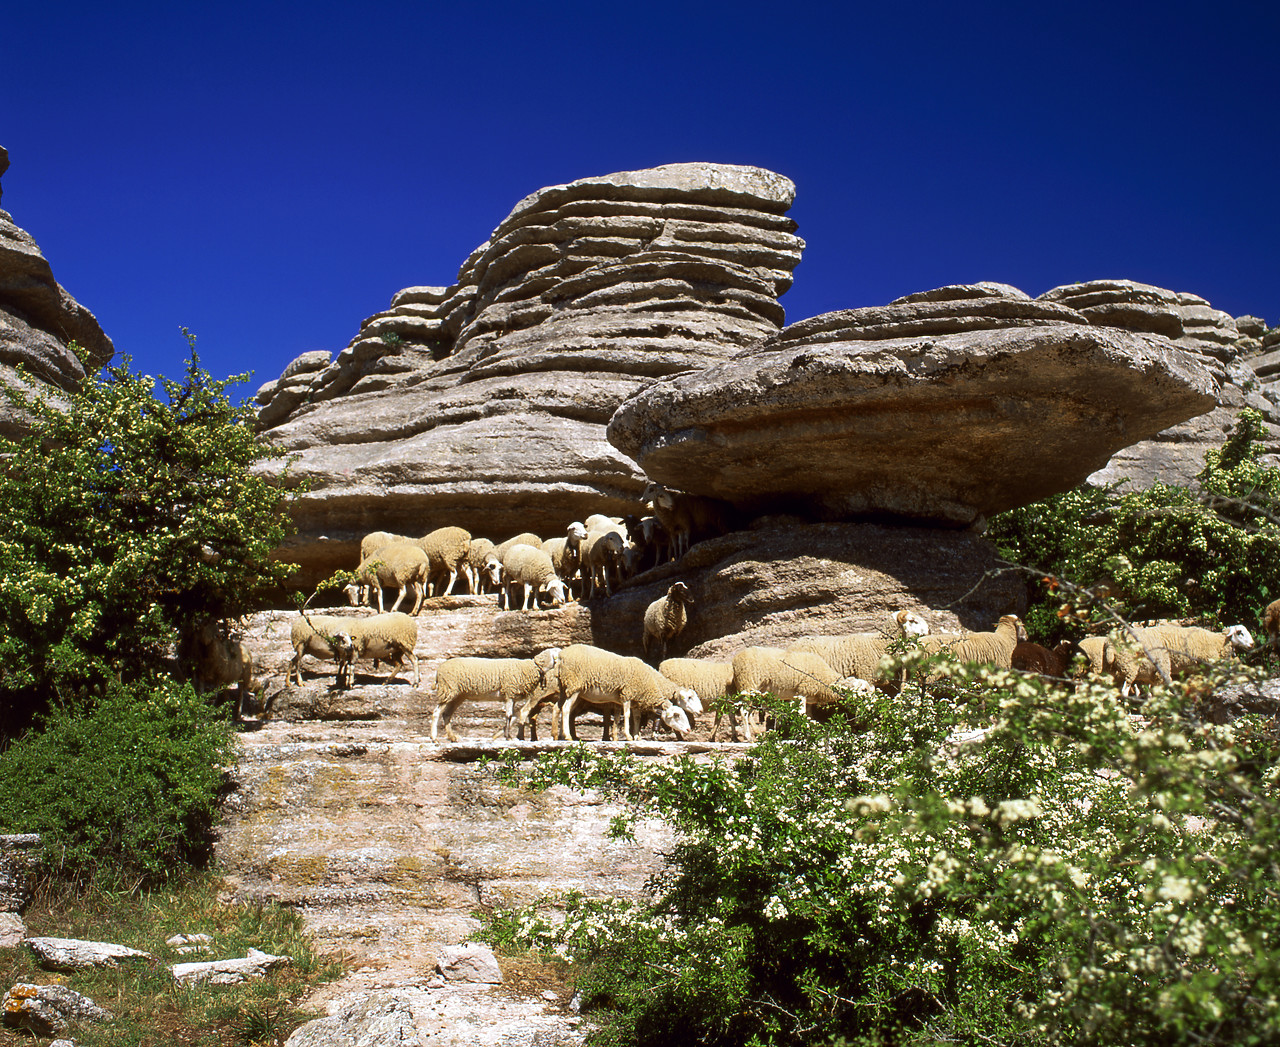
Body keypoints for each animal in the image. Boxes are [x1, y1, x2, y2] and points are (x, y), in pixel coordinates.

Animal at [430, 645, 560, 742]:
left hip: (457, 695)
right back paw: (434, 738)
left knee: (446, 714)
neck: (532, 667)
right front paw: (508, 737)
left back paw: (452, 737)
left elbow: (511, 715)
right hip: (448, 689)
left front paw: (508, 735)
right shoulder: (509, 692)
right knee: (436, 712)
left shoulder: (512, 696)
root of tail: (438, 671)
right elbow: (508, 715)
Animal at [524, 639, 696, 737]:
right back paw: (567, 736)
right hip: (575, 686)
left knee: (556, 709)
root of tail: (560, 657)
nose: (688, 730)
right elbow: (627, 716)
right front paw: (628, 736)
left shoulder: (634, 701)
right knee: (565, 709)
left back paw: (555, 735)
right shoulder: (627, 694)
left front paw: (635, 737)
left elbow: (634, 718)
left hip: (565, 687)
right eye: (676, 715)